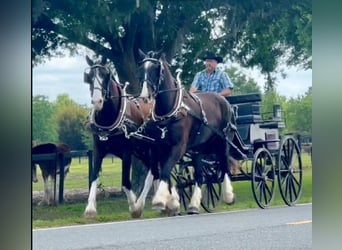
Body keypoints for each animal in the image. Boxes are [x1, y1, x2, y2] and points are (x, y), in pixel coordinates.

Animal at [83, 55, 159, 219]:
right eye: (89, 77)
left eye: (105, 76)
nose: (97, 101)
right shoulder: (98, 150)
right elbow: (94, 176)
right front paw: (90, 208)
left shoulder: (126, 153)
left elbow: (125, 181)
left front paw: (134, 207)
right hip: (142, 151)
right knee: (155, 171)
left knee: (153, 172)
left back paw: (146, 202)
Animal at [136, 49, 235, 214]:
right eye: (141, 69)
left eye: (156, 69)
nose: (144, 97)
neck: (171, 111)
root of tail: (222, 100)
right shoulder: (158, 147)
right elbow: (157, 173)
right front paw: (170, 202)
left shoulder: (179, 147)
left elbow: (165, 170)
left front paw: (160, 200)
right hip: (198, 148)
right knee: (200, 176)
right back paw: (194, 205)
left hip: (223, 140)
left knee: (224, 163)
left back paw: (228, 195)